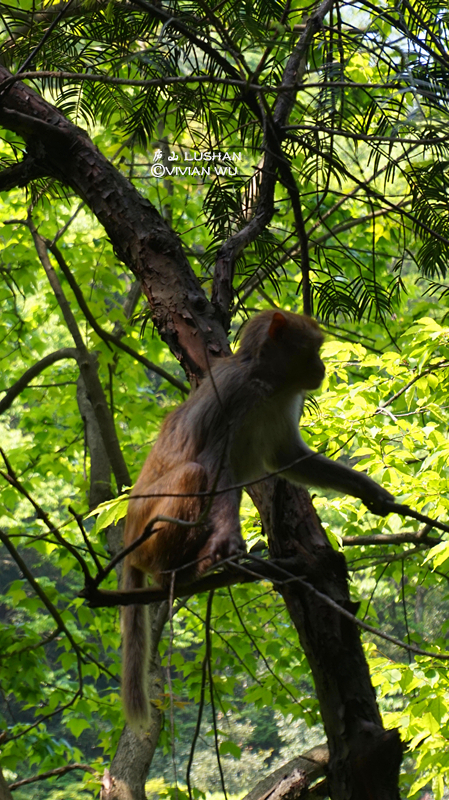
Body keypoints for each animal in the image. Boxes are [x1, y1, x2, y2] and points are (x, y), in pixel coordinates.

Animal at [121, 310, 394, 728]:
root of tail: (127, 540)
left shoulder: (284, 403)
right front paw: (227, 539)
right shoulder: (232, 399)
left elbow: (289, 458)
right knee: (194, 474)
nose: (322, 366)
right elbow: (217, 466)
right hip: (146, 531)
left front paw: (368, 488)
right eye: (313, 349)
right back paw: (174, 573)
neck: (267, 384)